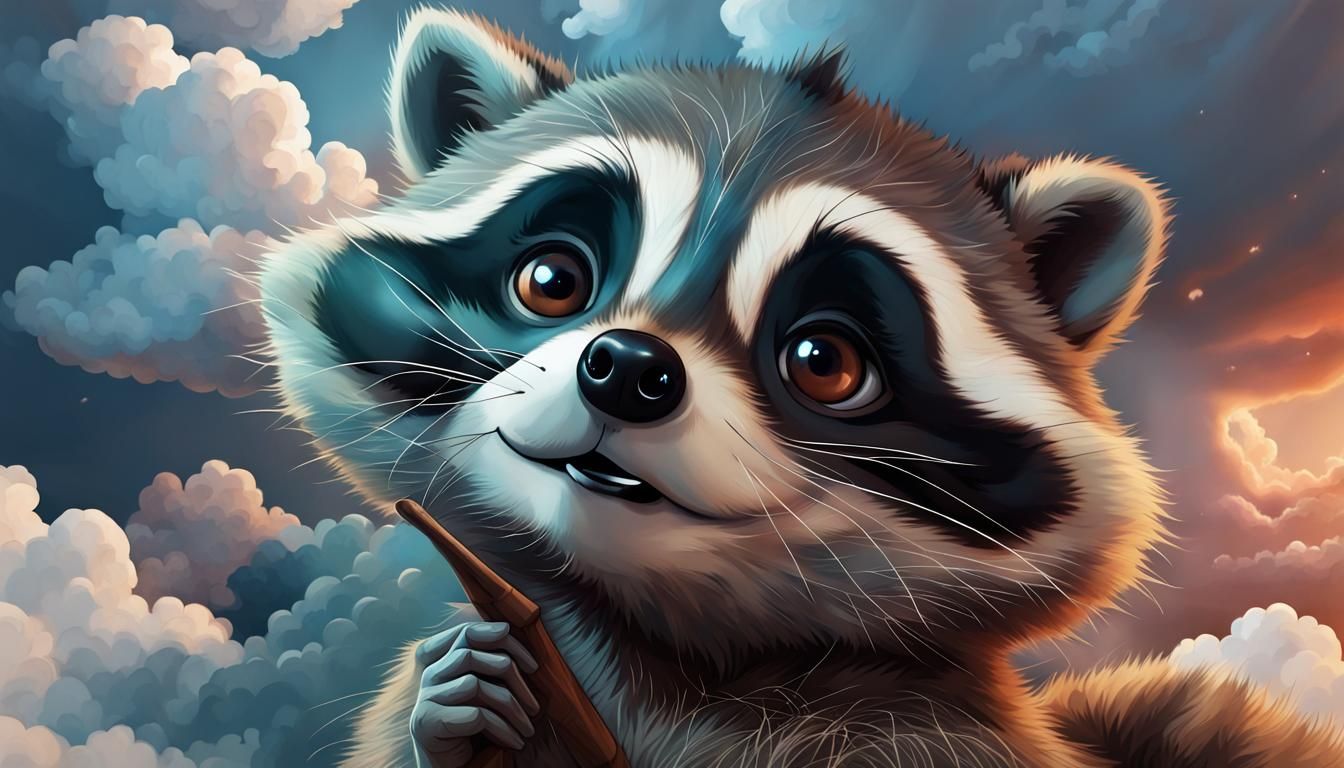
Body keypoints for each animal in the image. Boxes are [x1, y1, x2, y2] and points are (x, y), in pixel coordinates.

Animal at [260, 8, 1344, 767]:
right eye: (552, 279)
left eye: (826, 361)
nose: (628, 369)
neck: (663, 638)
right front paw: (451, 709)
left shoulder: (923, 731)